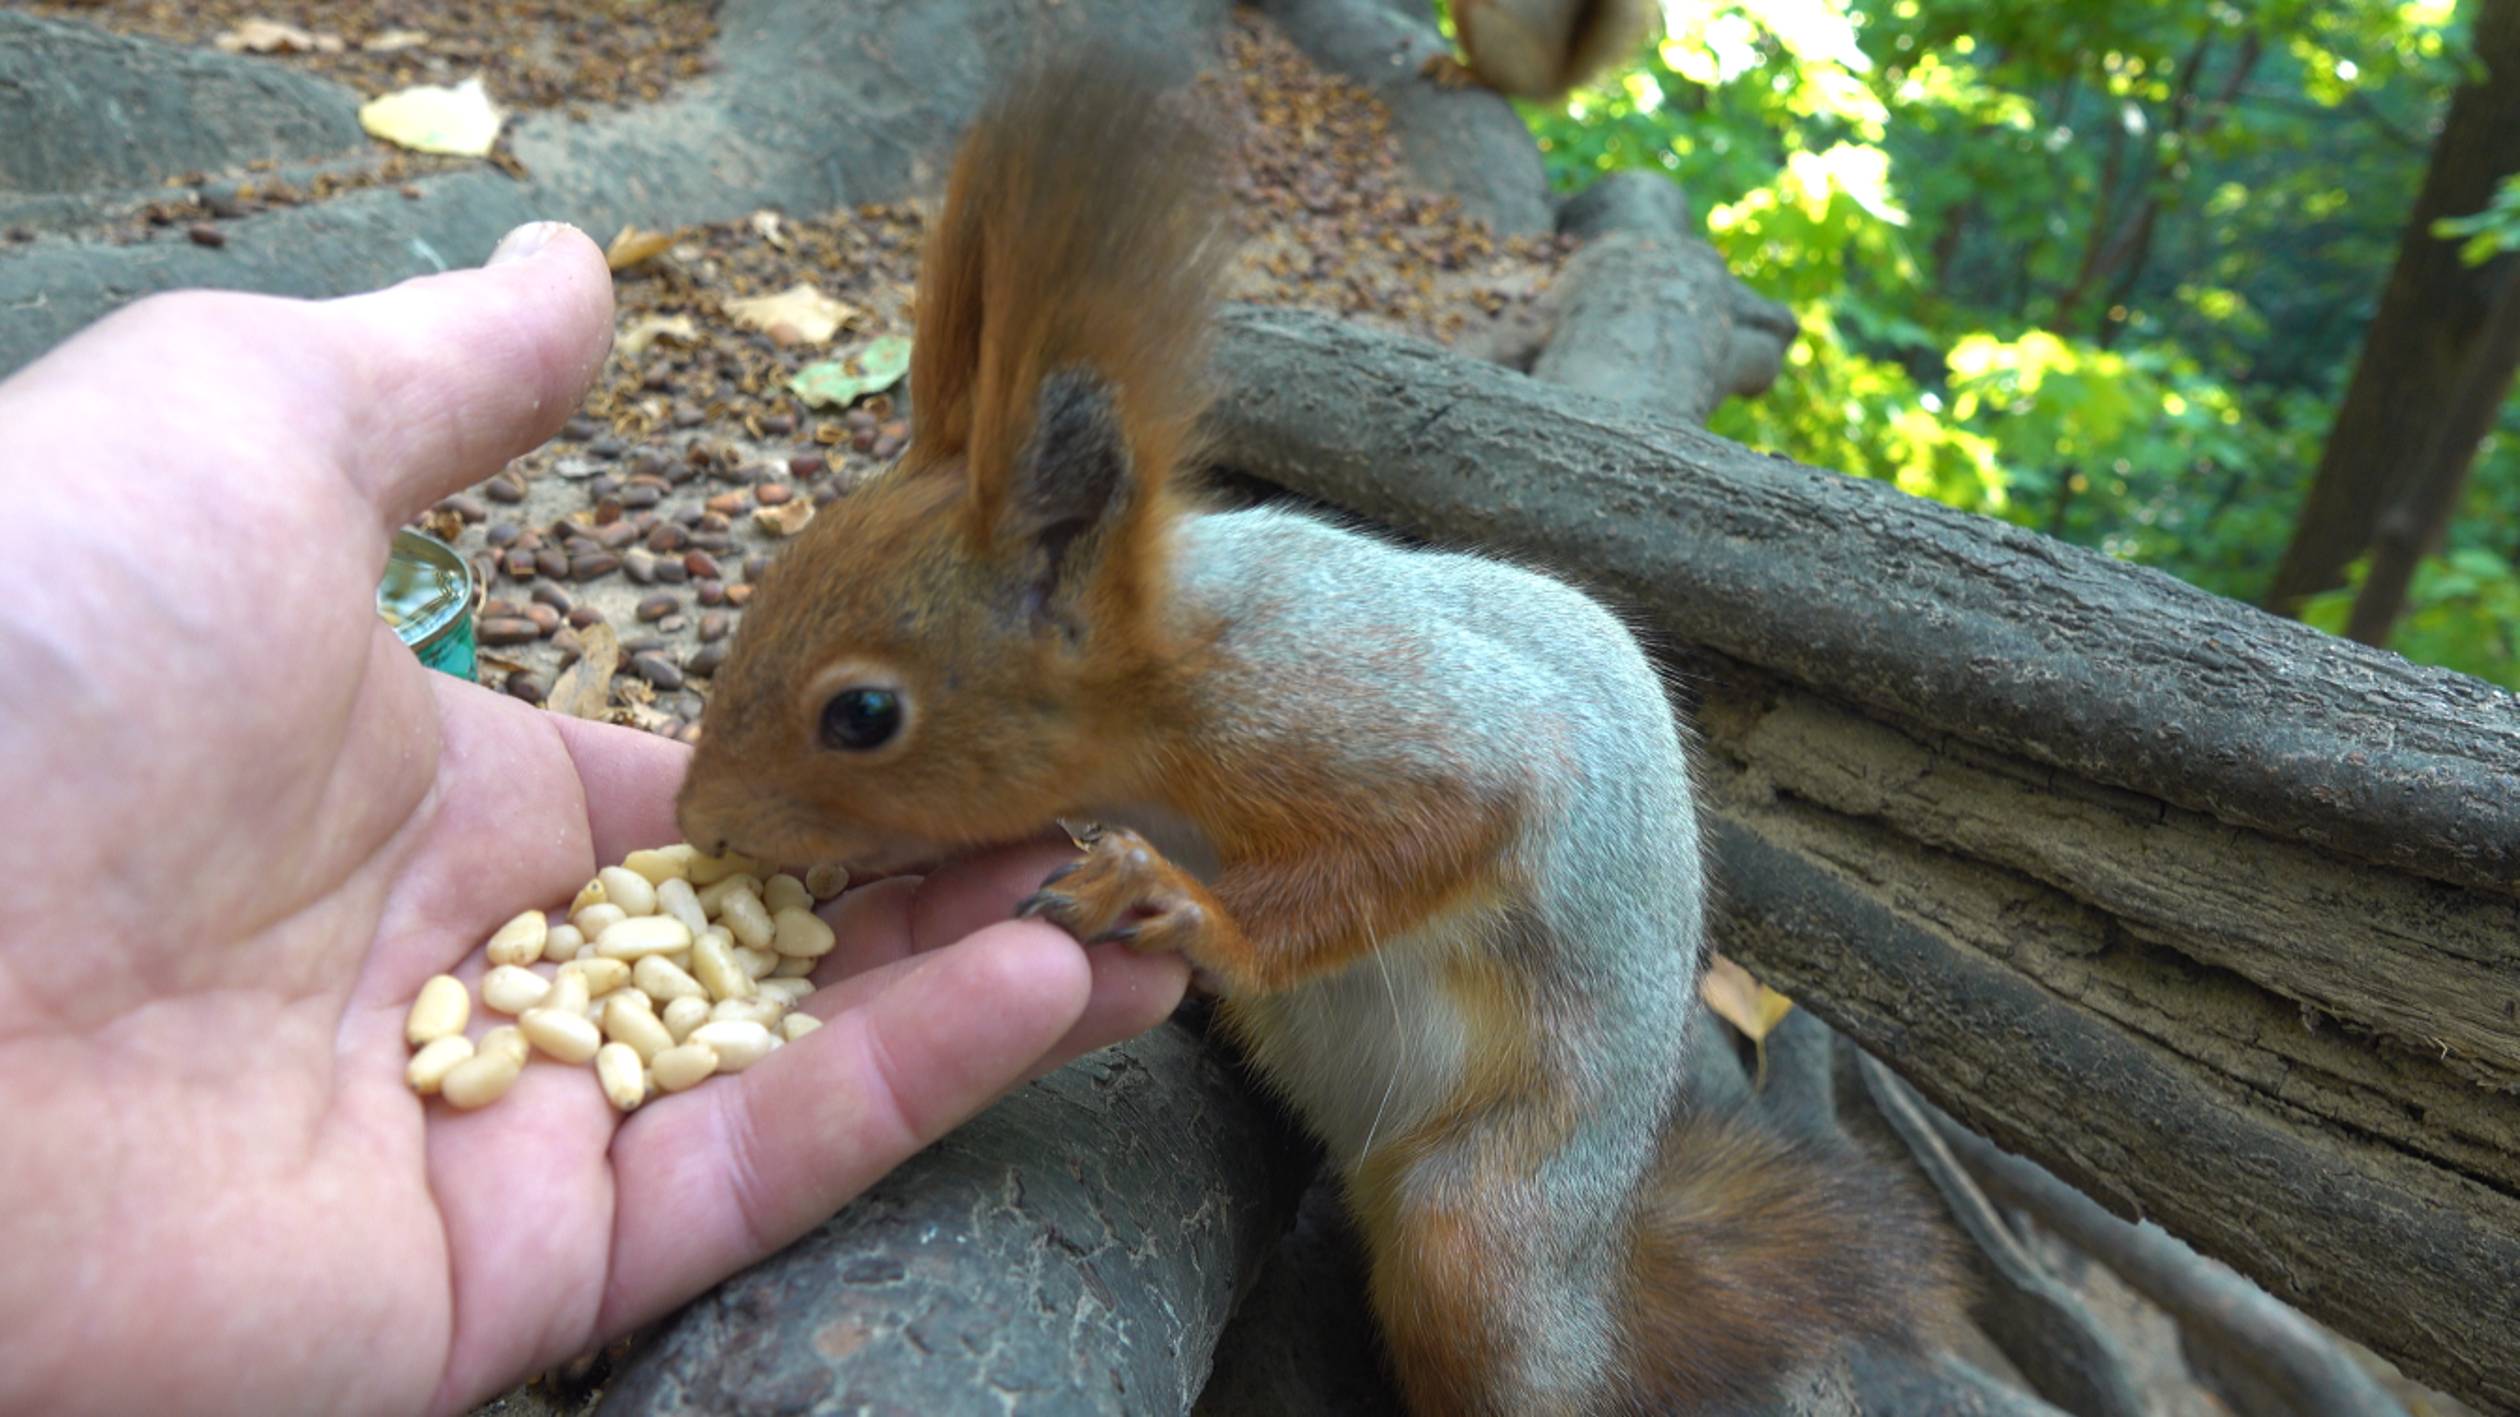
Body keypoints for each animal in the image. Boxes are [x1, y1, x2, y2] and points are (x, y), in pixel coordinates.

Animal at [675, 49, 1965, 1411]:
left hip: (1483, 1226)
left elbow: (1461, 816)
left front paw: (1181, 906)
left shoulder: (1345, 710)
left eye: (863, 714)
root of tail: (1596, 1270)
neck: (1165, 678)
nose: (700, 822)